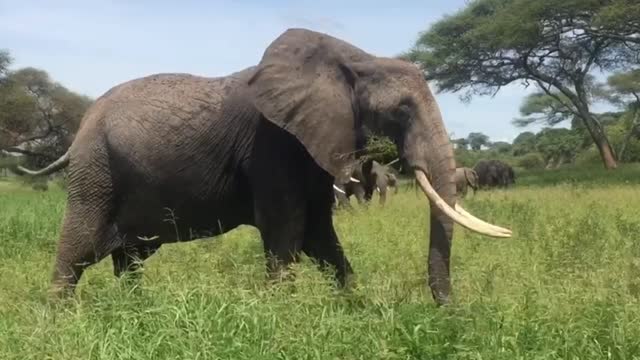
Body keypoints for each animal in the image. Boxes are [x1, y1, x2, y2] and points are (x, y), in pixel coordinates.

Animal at [12, 28, 510, 306]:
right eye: (402, 111)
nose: (450, 313)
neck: (354, 61)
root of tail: (79, 129)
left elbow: (319, 236)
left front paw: (356, 309)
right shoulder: (272, 144)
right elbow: (287, 232)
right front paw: (281, 318)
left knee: (128, 258)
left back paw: (138, 312)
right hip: (96, 172)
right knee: (76, 250)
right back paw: (59, 323)